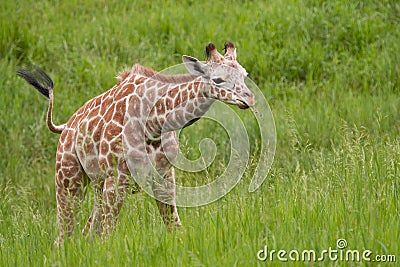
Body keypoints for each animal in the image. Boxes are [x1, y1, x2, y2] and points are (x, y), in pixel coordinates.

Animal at [17, 42, 255, 247]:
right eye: (218, 80)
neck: (153, 124)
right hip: (68, 180)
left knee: (86, 231)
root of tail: (65, 126)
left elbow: (176, 229)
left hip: (96, 184)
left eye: (245, 75)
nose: (249, 99)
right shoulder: (117, 179)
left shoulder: (164, 177)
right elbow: (108, 236)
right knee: (64, 236)